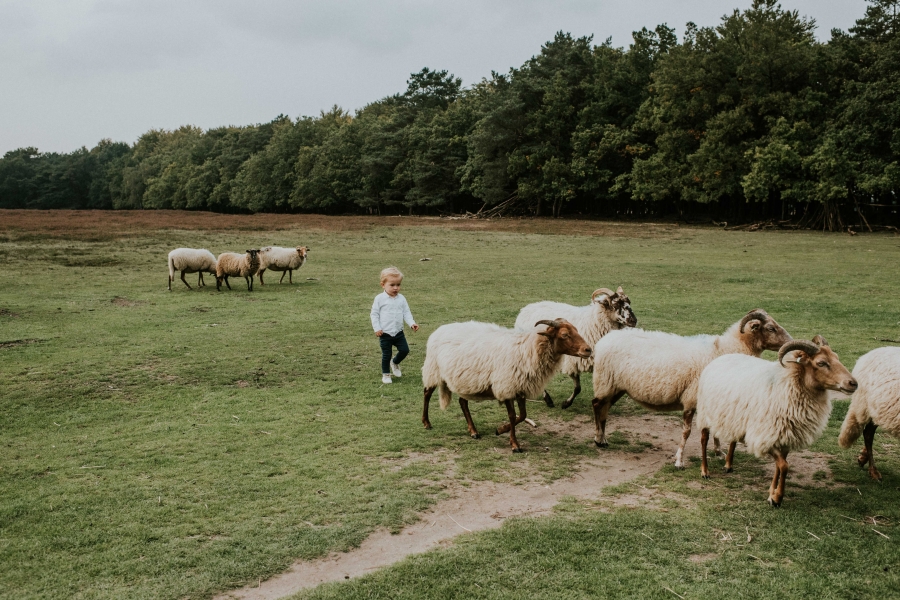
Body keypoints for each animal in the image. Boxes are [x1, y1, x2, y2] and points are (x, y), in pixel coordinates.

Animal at [420, 318, 592, 450]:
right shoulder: (507, 386)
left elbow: (522, 415)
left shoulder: (520, 387)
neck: (529, 349)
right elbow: (512, 415)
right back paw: (426, 423)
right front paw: (514, 444)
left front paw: (500, 430)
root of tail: (440, 329)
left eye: (576, 330)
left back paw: (473, 431)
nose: (588, 350)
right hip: (433, 370)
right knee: (427, 393)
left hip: (467, 382)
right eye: (564, 334)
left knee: (463, 402)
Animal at [512, 286, 640, 408]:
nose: (633, 321)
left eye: (629, 302)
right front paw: (566, 404)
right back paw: (547, 399)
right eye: (615, 304)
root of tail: (527, 308)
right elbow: (578, 388)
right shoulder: (573, 361)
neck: (594, 322)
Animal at [592, 308, 788, 466]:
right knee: (597, 405)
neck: (725, 350)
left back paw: (602, 438)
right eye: (771, 328)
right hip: (605, 381)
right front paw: (679, 460)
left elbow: (713, 428)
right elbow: (686, 432)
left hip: (616, 386)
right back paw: (598, 438)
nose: (789, 342)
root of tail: (605, 338)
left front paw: (718, 452)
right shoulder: (691, 398)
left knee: (604, 408)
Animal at [696, 338, 856, 506]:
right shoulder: (766, 436)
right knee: (704, 439)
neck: (788, 382)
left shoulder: (785, 437)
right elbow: (784, 467)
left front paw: (772, 494)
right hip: (705, 413)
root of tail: (721, 358)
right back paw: (705, 471)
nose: (853, 383)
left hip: (735, 417)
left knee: (733, 439)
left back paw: (728, 464)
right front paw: (778, 498)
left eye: (837, 357)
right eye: (821, 363)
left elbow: (780, 466)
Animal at [836, 344, 900, 480]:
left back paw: (863, 458)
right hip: (866, 405)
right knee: (868, 433)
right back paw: (873, 471)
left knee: (868, 432)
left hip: (878, 408)